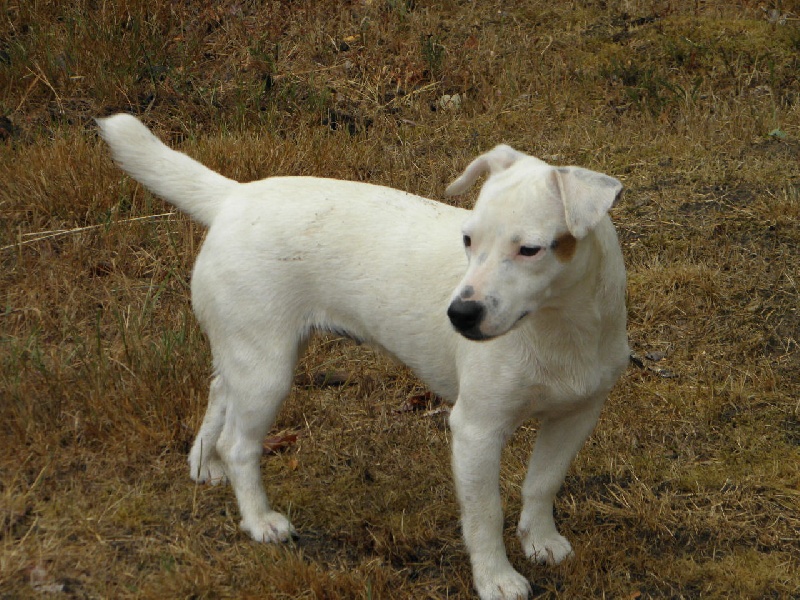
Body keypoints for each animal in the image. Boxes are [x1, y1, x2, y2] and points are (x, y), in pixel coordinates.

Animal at [97, 113, 628, 600]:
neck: (559, 328)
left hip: (251, 351)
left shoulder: (576, 415)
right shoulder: (477, 430)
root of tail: (233, 196)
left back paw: (205, 463)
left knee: (218, 391)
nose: (459, 314)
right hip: (268, 372)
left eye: (530, 250)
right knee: (239, 445)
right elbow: (485, 513)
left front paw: (540, 541)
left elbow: (542, 483)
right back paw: (259, 518)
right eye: (467, 239)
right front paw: (496, 579)